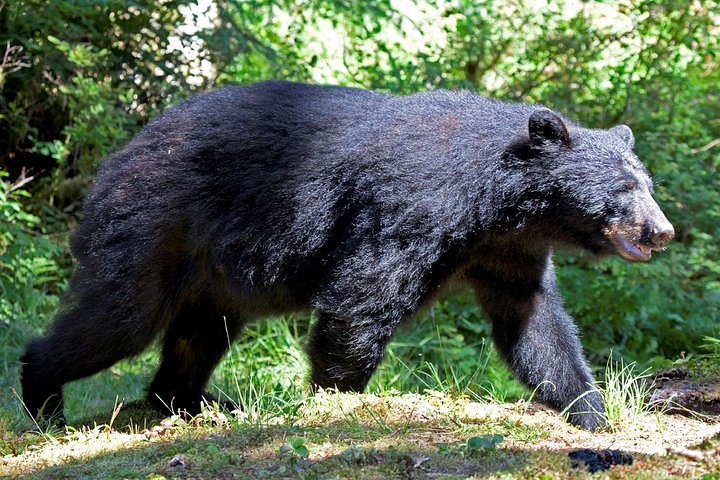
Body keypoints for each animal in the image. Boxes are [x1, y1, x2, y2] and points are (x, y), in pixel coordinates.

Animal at [21, 80, 674, 430]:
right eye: (625, 189)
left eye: (646, 183)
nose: (662, 231)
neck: (497, 201)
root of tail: (120, 155)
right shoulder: (412, 205)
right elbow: (363, 298)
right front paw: (336, 401)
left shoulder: (508, 250)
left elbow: (534, 324)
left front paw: (592, 410)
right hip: (154, 229)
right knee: (116, 320)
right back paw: (43, 397)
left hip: (211, 273)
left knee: (198, 334)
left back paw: (189, 401)